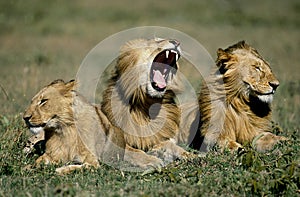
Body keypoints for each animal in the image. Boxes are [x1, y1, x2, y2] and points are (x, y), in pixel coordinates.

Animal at [101, 38, 190, 169]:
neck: (148, 105)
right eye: (157, 41)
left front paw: (189, 155)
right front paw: (151, 160)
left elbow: (172, 145)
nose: (177, 42)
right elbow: (135, 151)